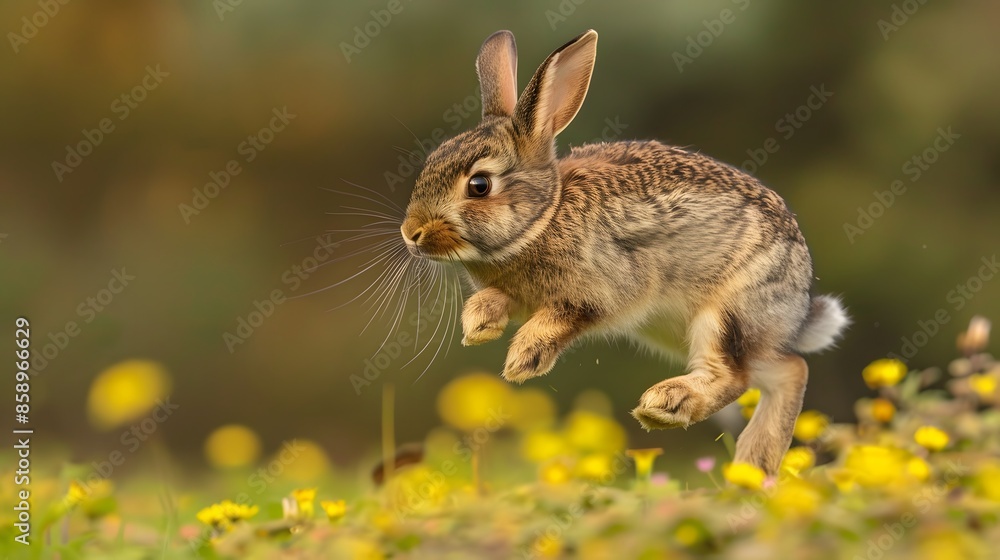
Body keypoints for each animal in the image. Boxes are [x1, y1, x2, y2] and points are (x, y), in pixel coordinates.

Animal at [399, 29, 848, 475]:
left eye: (479, 186)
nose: (411, 233)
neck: (544, 217)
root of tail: (798, 308)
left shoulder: (601, 289)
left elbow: (562, 317)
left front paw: (523, 360)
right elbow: (496, 299)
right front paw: (478, 327)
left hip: (726, 313)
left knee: (746, 374)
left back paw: (667, 406)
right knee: (784, 371)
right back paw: (752, 467)